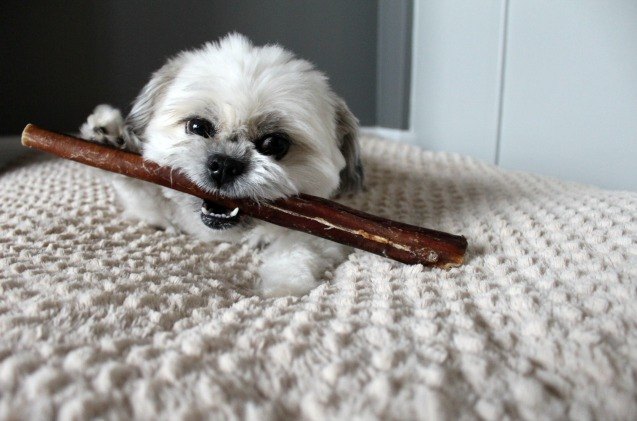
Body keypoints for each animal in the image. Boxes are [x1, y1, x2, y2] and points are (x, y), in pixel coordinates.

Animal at [80, 33, 362, 296]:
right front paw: (110, 140)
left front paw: (281, 287)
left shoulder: (326, 232)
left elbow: (297, 249)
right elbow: (140, 192)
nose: (224, 164)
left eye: (274, 144)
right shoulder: (154, 206)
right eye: (197, 126)